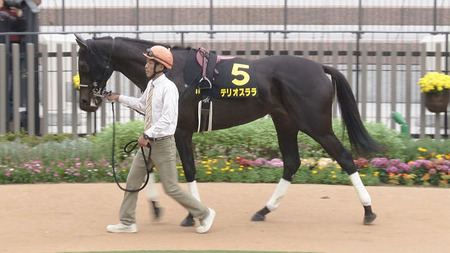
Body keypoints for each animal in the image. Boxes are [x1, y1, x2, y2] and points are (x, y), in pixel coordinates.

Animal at [75, 35, 382, 225]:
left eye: (83, 63)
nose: (85, 102)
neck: (172, 73)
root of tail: (320, 67)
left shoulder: (181, 130)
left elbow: (187, 170)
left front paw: (192, 215)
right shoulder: (166, 129)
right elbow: (149, 162)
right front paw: (156, 206)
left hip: (315, 125)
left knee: (344, 157)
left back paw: (368, 210)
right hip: (285, 122)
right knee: (292, 162)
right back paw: (264, 210)